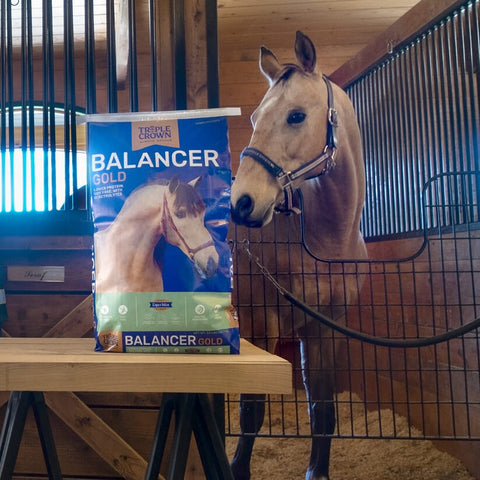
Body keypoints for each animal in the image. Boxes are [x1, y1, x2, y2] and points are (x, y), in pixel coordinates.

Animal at [229, 31, 368, 480]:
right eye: (255, 119)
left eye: (296, 116)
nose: (242, 203)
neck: (324, 242)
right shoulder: (259, 324)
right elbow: (252, 412)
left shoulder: (325, 329)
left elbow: (322, 410)